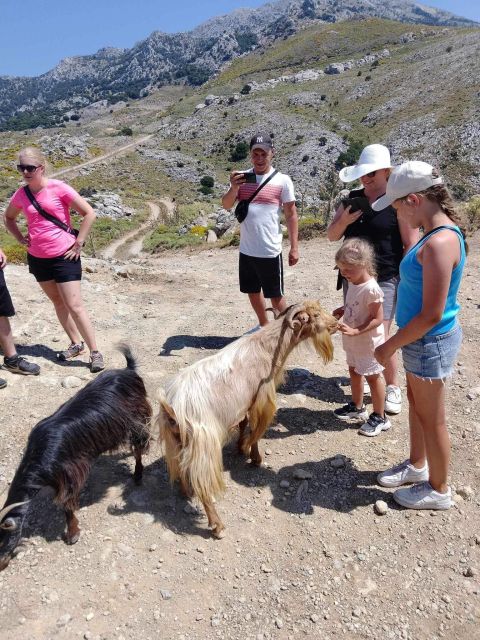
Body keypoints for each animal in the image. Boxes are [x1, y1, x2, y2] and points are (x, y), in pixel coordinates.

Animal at [0, 344, 151, 568]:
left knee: (139, 447)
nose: (2, 564)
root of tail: (129, 370)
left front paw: (73, 534)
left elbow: (67, 506)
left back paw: (138, 476)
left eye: (2, 541)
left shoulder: (68, 474)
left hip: (138, 418)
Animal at [158, 300, 338, 536]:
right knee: (203, 482)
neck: (267, 349)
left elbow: (243, 424)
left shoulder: (243, 405)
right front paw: (255, 458)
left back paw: (187, 493)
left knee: (181, 467)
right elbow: (255, 431)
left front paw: (240, 448)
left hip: (176, 442)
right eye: (315, 315)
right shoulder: (260, 400)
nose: (337, 323)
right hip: (203, 443)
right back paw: (217, 525)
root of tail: (173, 406)